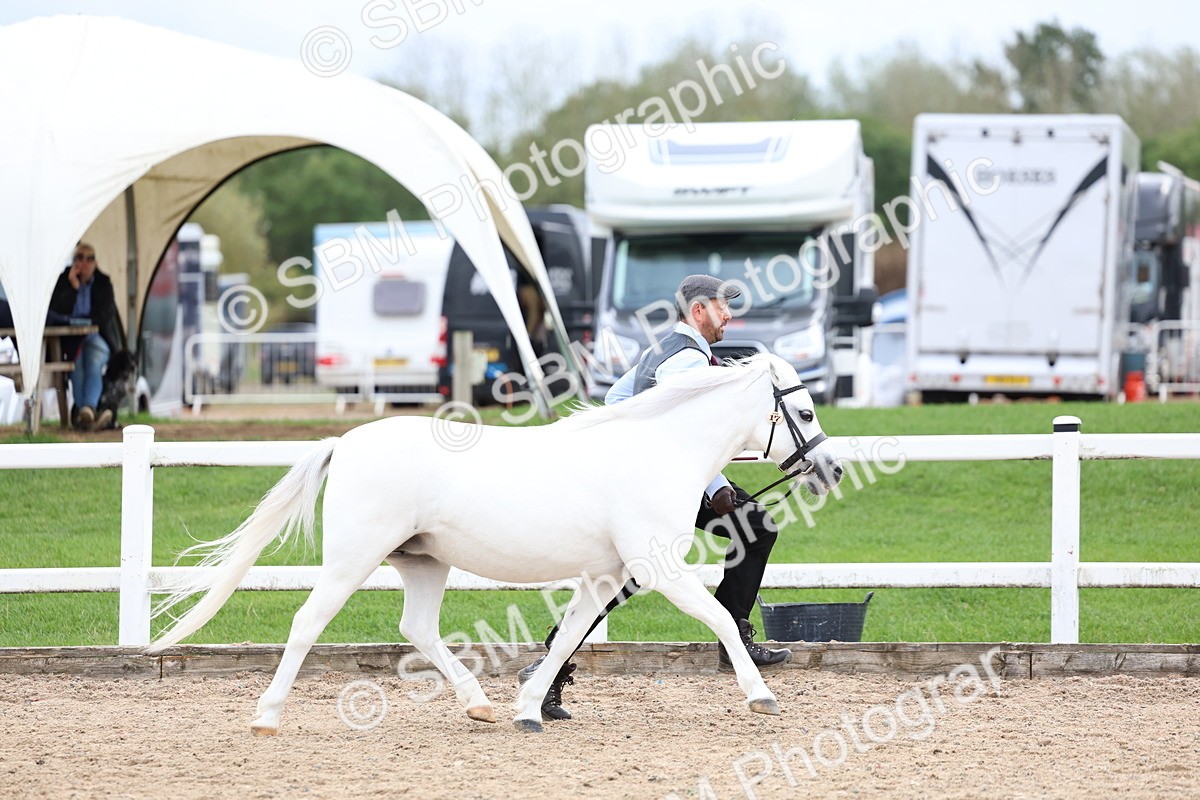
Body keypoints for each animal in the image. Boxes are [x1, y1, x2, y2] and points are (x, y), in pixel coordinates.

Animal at [146, 353, 843, 734]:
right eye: (806, 412)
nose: (832, 469)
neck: (658, 449)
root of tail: (345, 442)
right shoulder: (660, 569)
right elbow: (722, 618)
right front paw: (761, 696)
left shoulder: (605, 574)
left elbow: (567, 637)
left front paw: (531, 709)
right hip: (352, 559)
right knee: (307, 621)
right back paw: (266, 717)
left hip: (424, 561)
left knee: (417, 628)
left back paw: (479, 705)